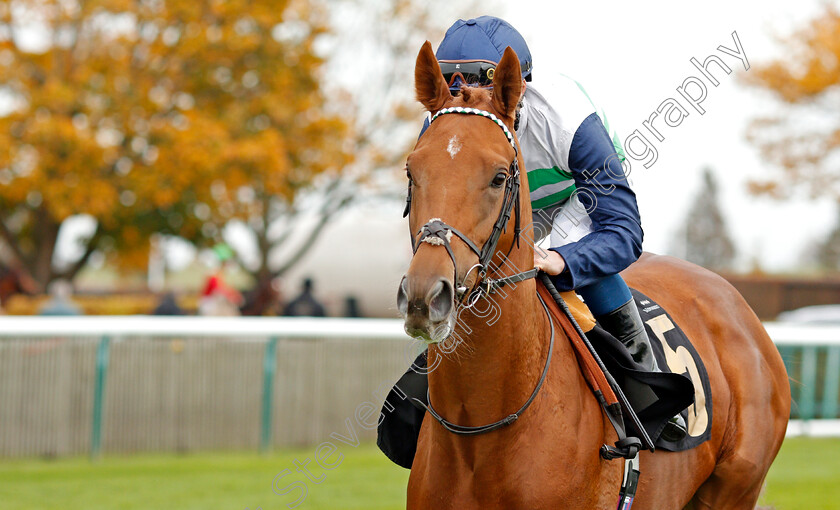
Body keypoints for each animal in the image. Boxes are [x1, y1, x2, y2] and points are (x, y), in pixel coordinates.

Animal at [398, 40, 792, 510]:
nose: (426, 297)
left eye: (498, 177)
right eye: (411, 171)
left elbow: (621, 225)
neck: (483, 425)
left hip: (734, 489)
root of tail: (740, 309)